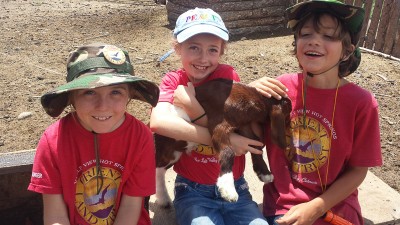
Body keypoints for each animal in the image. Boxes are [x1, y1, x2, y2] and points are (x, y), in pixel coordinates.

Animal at [153, 78, 290, 207]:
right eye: (288, 111)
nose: (289, 126)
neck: (255, 99)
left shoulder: (243, 125)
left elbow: (254, 143)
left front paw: (264, 173)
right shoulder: (219, 123)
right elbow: (229, 152)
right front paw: (228, 190)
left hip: (173, 154)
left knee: (159, 169)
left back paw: (163, 199)